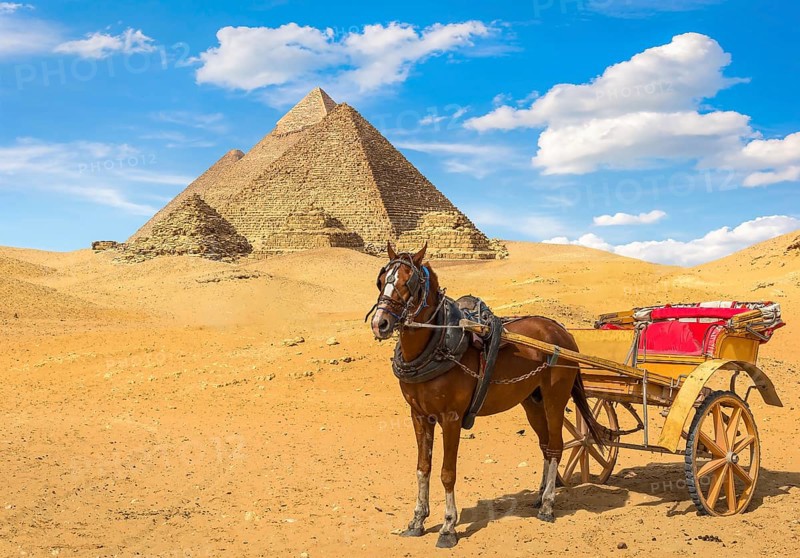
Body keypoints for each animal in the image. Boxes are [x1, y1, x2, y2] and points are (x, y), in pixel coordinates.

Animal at [369, 243, 604, 549]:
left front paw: (448, 527)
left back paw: (548, 505)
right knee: (544, 445)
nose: (380, 323)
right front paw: (417, 520)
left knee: (555, 446)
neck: (437, 344)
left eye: (410, 283)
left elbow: (447, 473)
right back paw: (539, 496)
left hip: (555, 397)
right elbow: (423, 468)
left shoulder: (452, 418)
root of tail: (563, 333)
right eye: (381, 280)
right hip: (533, 401)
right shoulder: (418, 415)